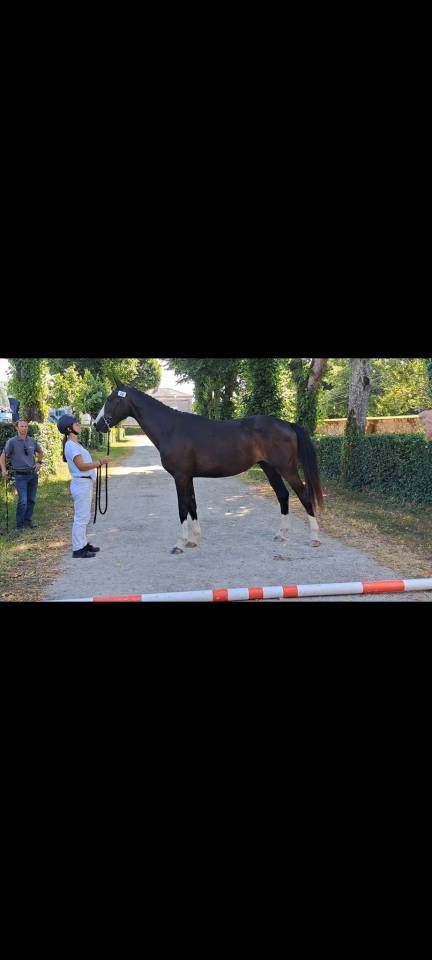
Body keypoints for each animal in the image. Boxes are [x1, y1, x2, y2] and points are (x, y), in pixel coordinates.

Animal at [94, 379, 324, 555]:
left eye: (112, 399)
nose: (97, 425)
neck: (171, 428)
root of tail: (287, 424)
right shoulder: (188, 477)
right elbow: (192, 505)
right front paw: (194, 540)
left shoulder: (180, 476)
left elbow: (182, 508)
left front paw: (180, 544)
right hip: (269, 468)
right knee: (283, 495)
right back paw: (281, 535)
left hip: (287, 469)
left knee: (303, 495)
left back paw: (314, 538)